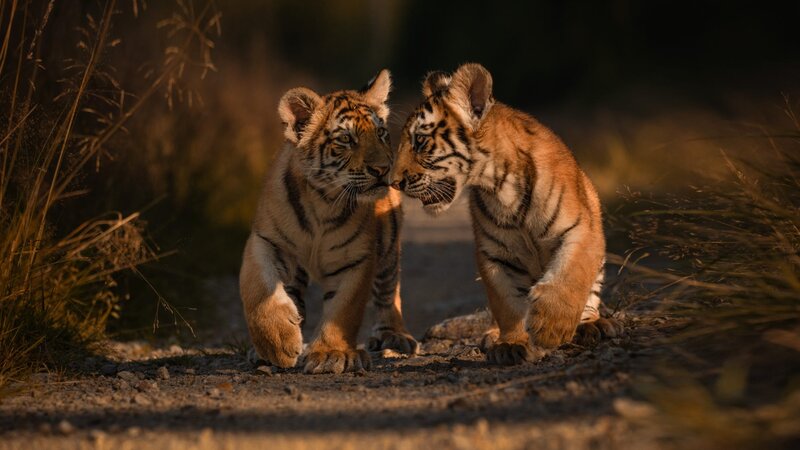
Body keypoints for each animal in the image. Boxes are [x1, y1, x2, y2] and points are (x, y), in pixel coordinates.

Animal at [239, 69, 418, 374]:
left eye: (381, 133)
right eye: (346, 139)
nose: (384, 170)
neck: (323, 201)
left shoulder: (357, 258)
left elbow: (344, 309)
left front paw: (330, 354)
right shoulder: (267, 241)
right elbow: (257, 287)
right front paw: (277, 344)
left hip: (389, 246)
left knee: (389, 290)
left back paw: (394, 335)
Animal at [389, 63, 623, 365]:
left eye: (419, 141)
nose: (394, 182)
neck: (499, 185)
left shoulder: (580, 230)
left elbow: (569, 275)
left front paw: (551, 328)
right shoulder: (495, 254)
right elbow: (507, 304)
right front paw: (511, 344)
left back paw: (594, 325)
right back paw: (492, 336)